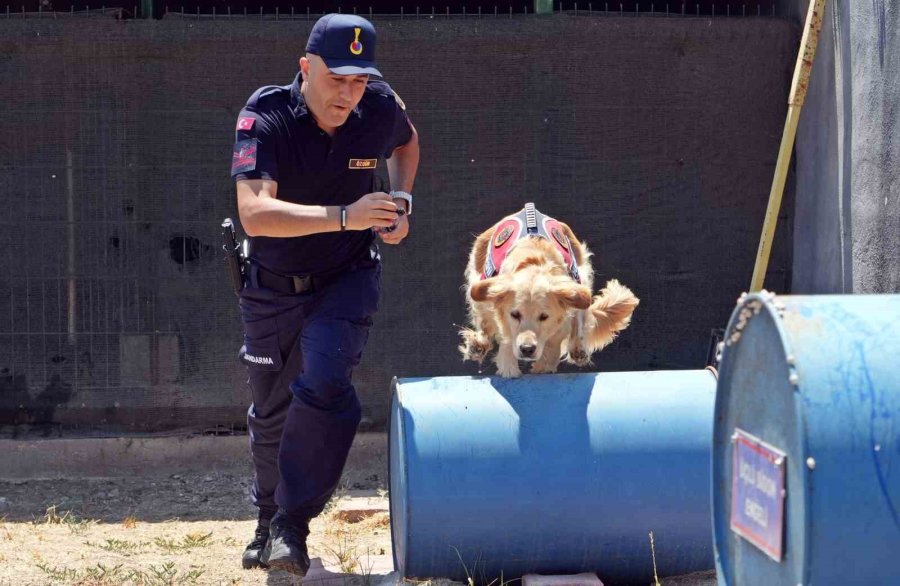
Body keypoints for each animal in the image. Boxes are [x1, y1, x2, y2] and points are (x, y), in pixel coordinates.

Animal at [458, 203, 640, 376]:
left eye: (544, 316)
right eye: (515, 315)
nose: (527, 349)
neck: (533, 263)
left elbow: (552, 348)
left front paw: (542, 364)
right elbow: (497, 331)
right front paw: (505, 362)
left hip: (581, 280)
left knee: (580, 317)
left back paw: (578, 349)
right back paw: (478, 346)